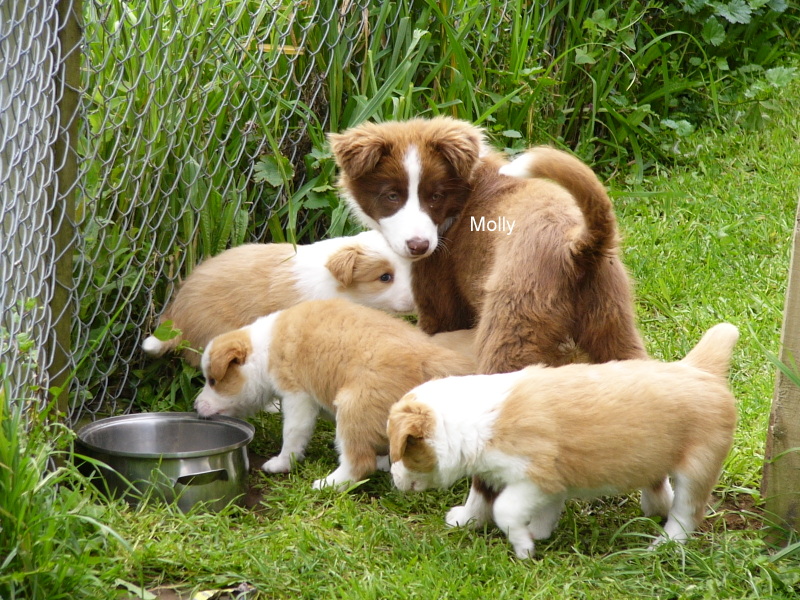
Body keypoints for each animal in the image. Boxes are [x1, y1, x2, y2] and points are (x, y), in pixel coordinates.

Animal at [193, 298, 475, 490]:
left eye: (213, 381)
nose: (196, 407)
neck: (264, 350)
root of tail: (430, 357)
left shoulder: (297, 397)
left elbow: (292, 435)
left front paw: (281, 463)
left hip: (354, 407)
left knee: (359, 463)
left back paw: (327, 484)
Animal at [388, 323, 739, 558]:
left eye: (399, 452)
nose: (392, 479)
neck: (474, 419)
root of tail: (701, 369)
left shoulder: (535, 475)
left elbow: (504, 509)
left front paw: (523, 547)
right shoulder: (552, 484)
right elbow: (541, 512)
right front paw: (534, 534)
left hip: (697, 468)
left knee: (687, 513)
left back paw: (663, 545)